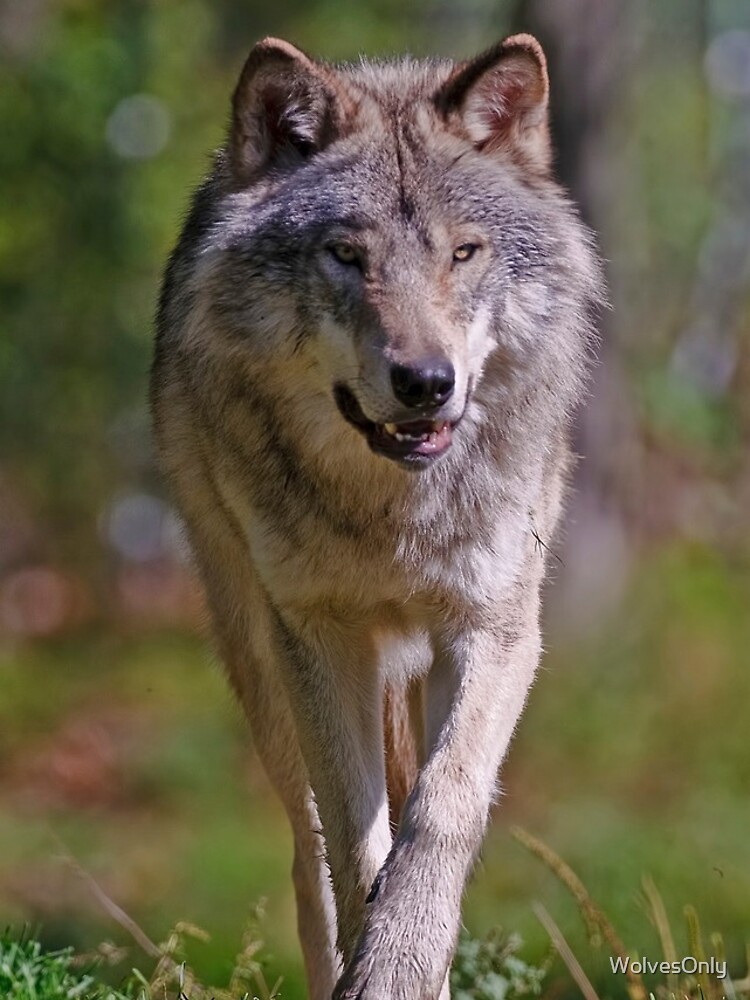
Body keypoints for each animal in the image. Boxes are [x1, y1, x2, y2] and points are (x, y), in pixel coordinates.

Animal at [151, 31, 602, 1000]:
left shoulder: (500, 626)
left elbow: (439, 811)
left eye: (463, 253)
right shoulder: (319, 636)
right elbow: (358, 840)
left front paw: (404, 959)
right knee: (309, 849)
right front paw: (377, 965)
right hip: (260, 662)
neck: (394, 517)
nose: (426, 382)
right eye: (346, 256)